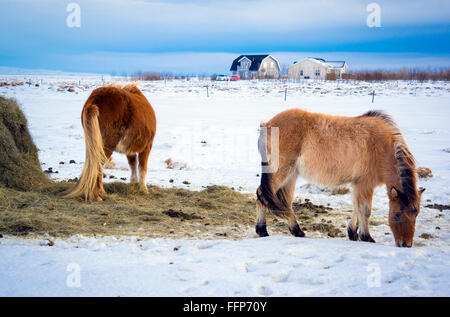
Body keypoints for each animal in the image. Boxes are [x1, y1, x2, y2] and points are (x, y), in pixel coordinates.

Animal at [256, 108, 426, 247]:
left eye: (416, 214)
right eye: (397, 214)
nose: (406, 244)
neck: (381, 147)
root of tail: (267, 125)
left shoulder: (358, 185)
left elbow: (357, 208)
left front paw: (353, 233)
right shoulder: (364, 184)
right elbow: (365, 210)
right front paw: (367, 237)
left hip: (291, 175)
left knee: (286, 202)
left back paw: (297, 231)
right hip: (282, 171)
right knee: (261, 195)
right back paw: (262, 231)